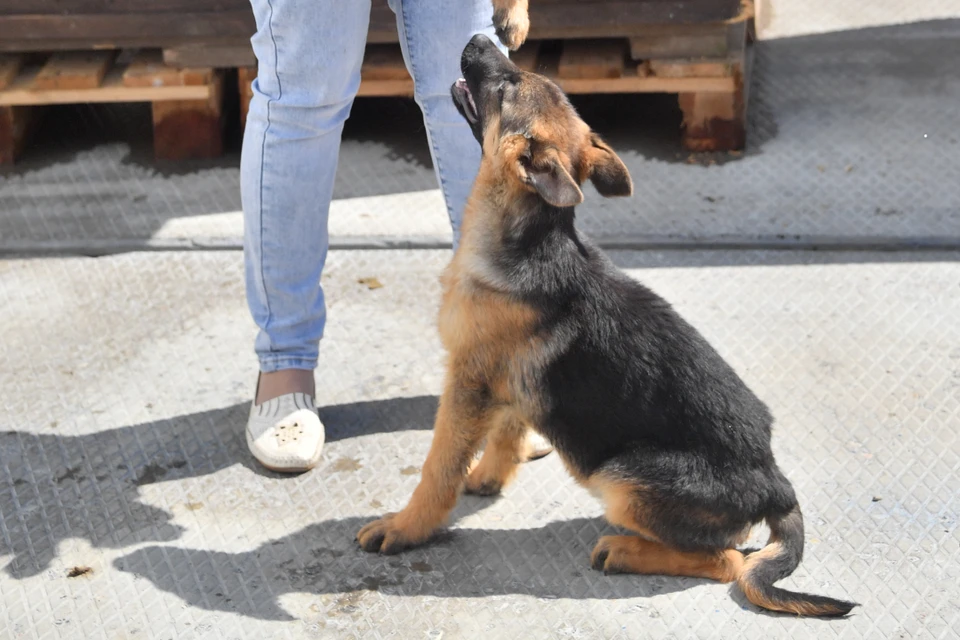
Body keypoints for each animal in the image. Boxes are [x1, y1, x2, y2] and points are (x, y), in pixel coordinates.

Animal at [358, 32, 856, 616]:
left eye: (507, 86)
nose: (481, 37)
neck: (529, 235)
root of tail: (776, 483)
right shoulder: (511, 381)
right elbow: (507, 429)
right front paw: (490, 475)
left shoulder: (468, 382)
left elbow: (438, 468)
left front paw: (406, 527)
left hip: (621, 478)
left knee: (727, 561)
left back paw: (624, 550)